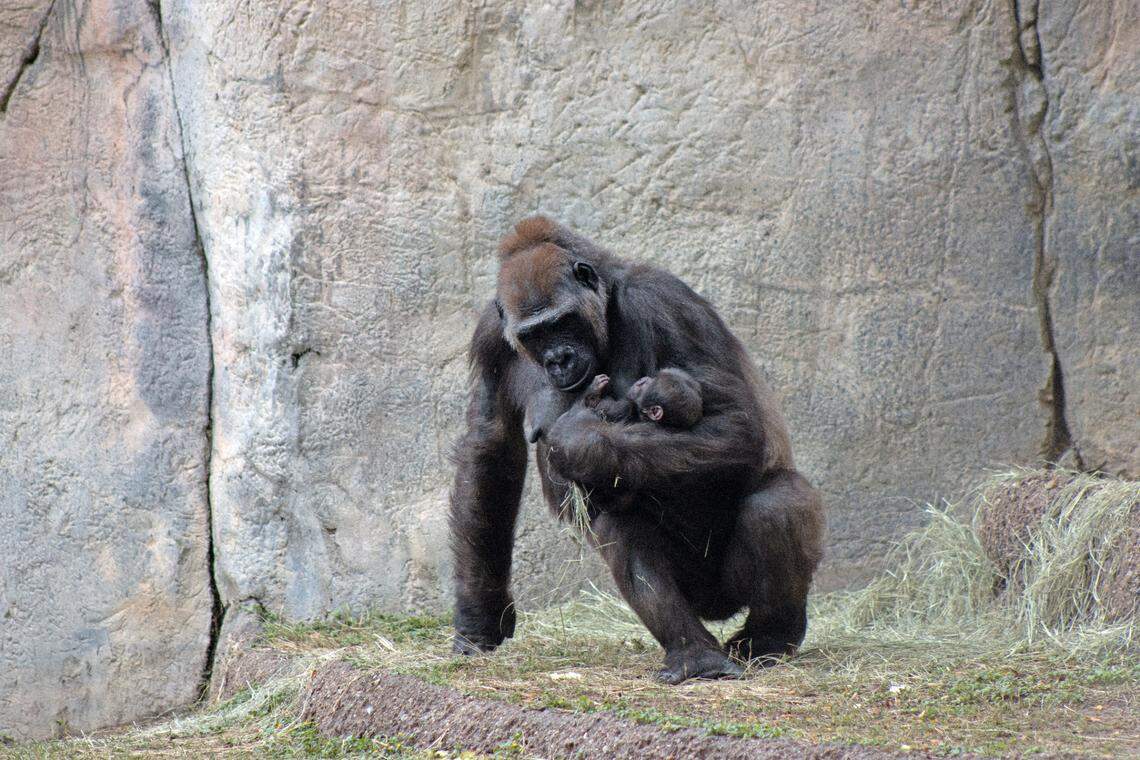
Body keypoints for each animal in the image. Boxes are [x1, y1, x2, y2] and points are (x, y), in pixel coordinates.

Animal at [449, 216, 825, 684]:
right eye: (533, 336)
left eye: (564, 322)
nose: (558, 360)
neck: (607, 303)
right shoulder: (490, 336)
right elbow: (491, 449)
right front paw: (479, 616)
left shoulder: (662, 300)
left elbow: (735, 424)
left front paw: (581, 442)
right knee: (621, 524)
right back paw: (694, 653)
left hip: (730, 588)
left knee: (778, 503)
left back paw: (771, 638)